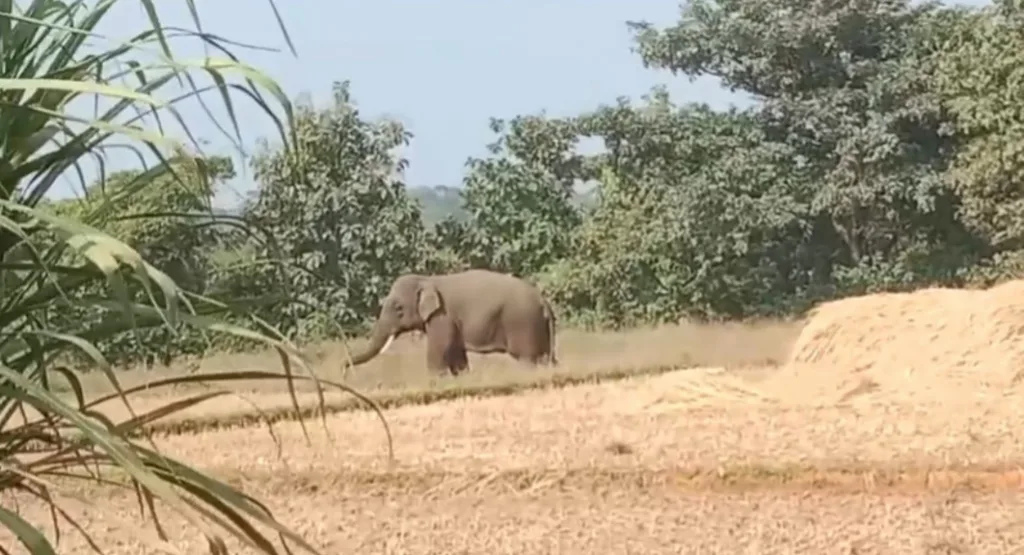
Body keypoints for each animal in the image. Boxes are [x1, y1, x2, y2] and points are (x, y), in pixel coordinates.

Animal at [345, 269, 558, 375]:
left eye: (398, 308)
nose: (345, 368)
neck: (427, 279)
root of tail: (543, 300)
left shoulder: (443, 316)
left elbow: (440, 348)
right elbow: (456, 350)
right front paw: (461, 377)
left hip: (522, 322)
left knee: (527, 359)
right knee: (546, 358)